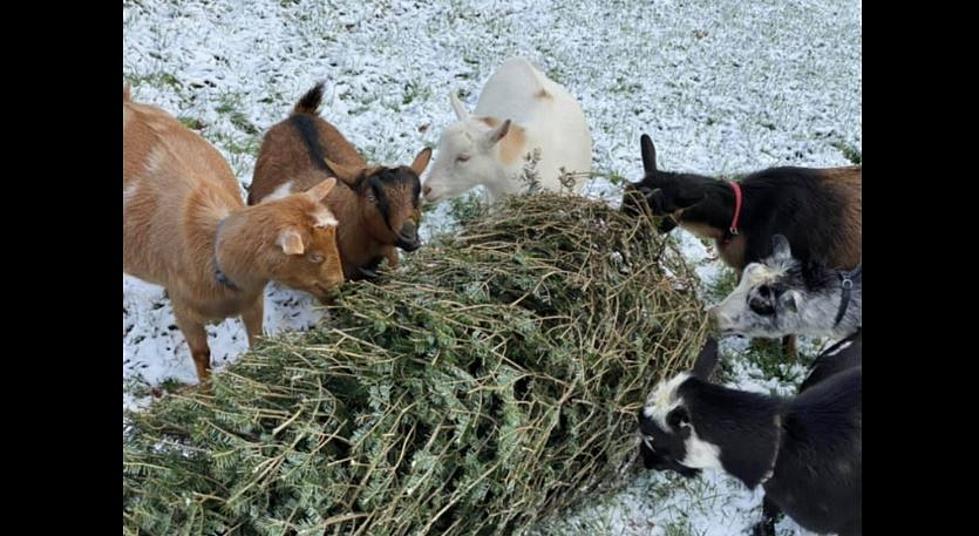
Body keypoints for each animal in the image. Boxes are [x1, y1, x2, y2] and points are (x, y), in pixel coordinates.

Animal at [123, 86, 344, 384]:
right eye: (314, 256)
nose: (340, 284)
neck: (215, 253)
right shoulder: (186, 313)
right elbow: (201, 355)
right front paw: (207, 391)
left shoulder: (253, 302)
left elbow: (257, 340)